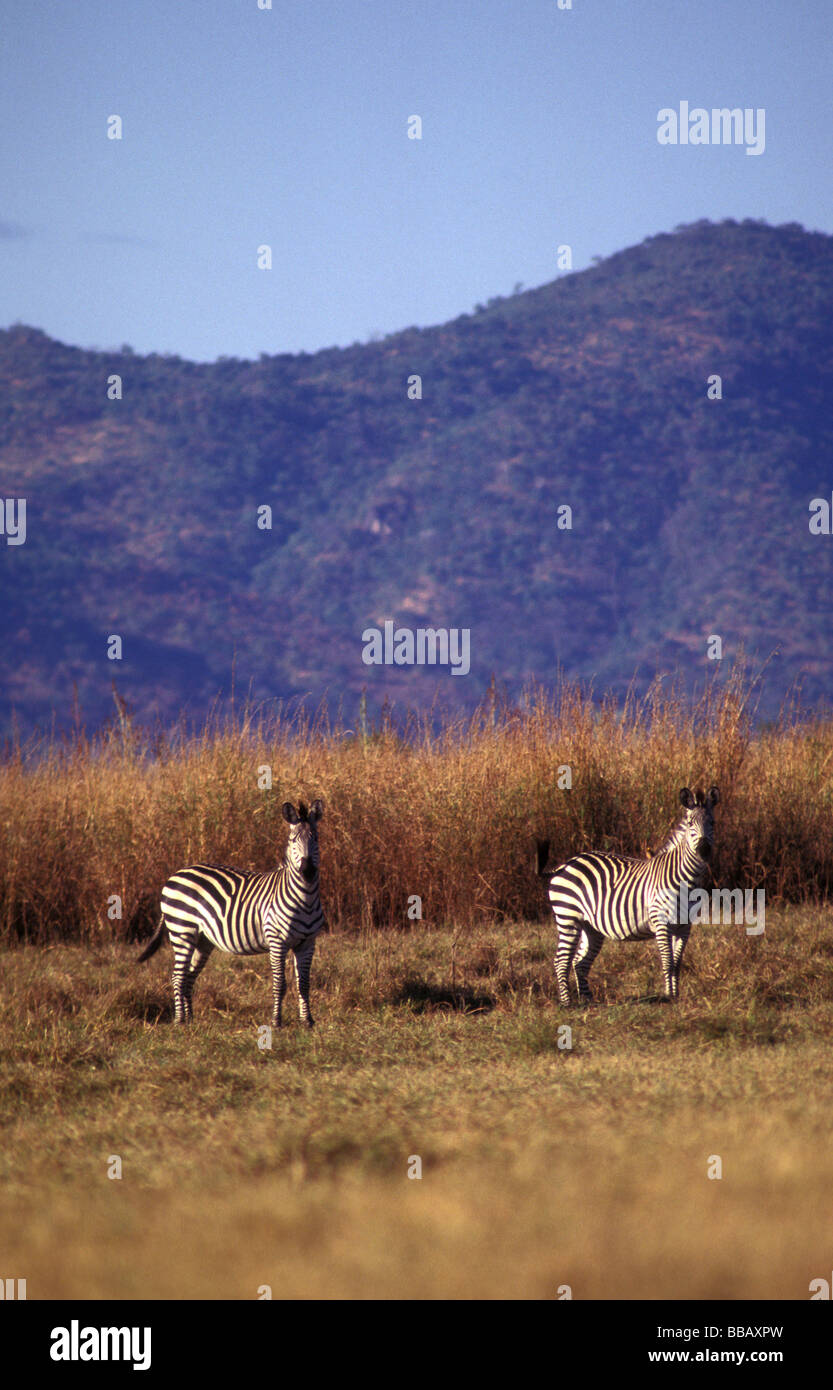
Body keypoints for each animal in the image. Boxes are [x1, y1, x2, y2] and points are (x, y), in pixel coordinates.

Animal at [140, 800, 325, 1028]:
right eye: (292, 841)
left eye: (316, 839)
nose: (307, 871)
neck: (305, 900)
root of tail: (176, 874)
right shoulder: (277, 941)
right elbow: (280, 984)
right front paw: (276, 1022)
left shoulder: (307, 943)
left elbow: (304, 984)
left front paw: (307, 1021)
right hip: (182, 931)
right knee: (178, 977)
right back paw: (180, 1020)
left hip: (202, 940)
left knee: (189, 977)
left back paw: (191, 1019)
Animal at [536, 789, 717, 1006]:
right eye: (690, 823)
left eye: (712, 822)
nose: (704, 850)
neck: (686, 879)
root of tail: (565, 864)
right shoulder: (661, 922)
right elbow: (667, 961)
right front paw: (668, 996)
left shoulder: (684, 927)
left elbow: (677, 962)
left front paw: (676, 995)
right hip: (567, 917)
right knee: (561, 961)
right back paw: (567, 1003)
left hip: (590, 927)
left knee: (580, 962)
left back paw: (587, 1001)